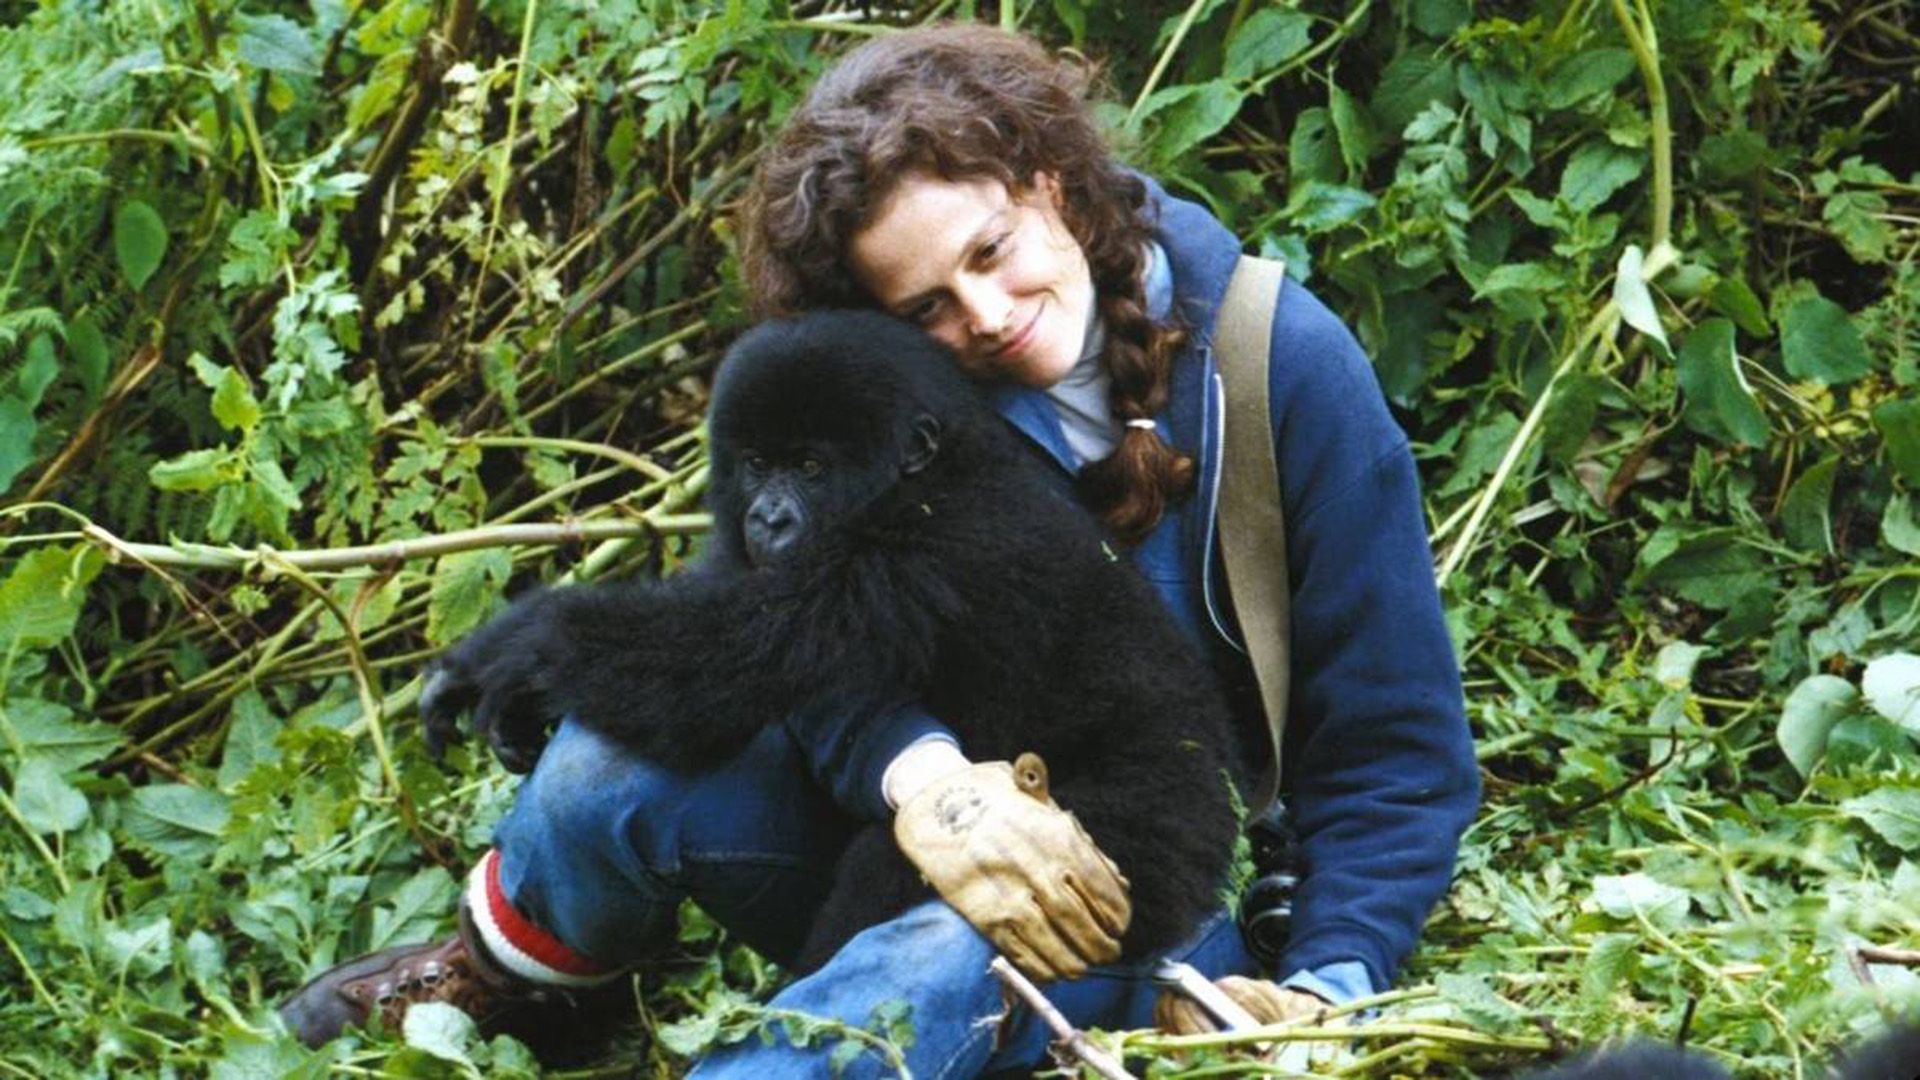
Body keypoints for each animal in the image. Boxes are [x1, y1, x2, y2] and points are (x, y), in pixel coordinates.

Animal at [420, 309, 1236, 968]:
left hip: (1146, 847)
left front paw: (518, 647)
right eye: (758, 464)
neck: (938, 469)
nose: (770, 519)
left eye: (811, 467)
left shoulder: (927, 549)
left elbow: (717, 661)